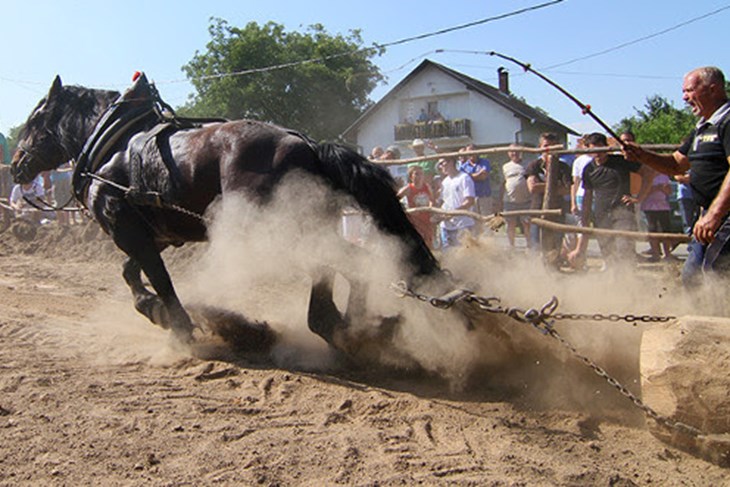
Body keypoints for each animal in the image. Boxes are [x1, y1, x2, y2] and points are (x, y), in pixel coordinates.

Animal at [11, 73, 440, 346]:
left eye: (34, 120)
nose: (15, 165)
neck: (111, 146)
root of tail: (308, 146)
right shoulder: (156, 236)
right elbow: (131, 272)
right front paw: (155, 310)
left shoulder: (129, 231)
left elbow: (158, 280)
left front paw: (177, 325)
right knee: (347, 266)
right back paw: (350, 327)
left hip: (277, 234)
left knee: (341, 265)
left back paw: (338, 327)